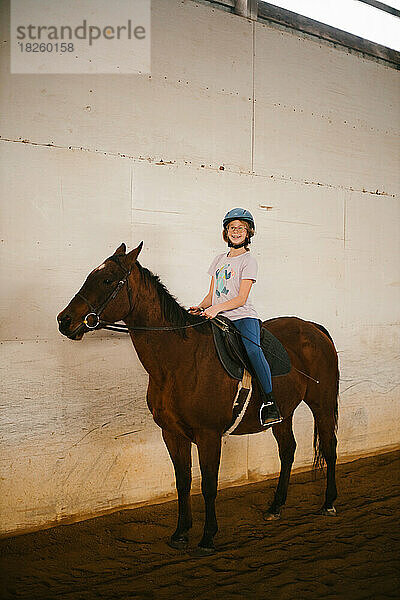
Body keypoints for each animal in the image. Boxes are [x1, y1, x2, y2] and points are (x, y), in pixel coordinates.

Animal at [57, 241, 340, 556]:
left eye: (107, 280)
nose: (64, 320)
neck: (179, 361)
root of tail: (314, 328)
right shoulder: (172, 433)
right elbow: (183, 482)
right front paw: (181, 533)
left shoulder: (208, 435)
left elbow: (208, 485)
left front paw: (207, 537)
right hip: (283, 414)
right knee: (288, 451)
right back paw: (276, 507)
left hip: (322, 404)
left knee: (329, 448)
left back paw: (329, 503)